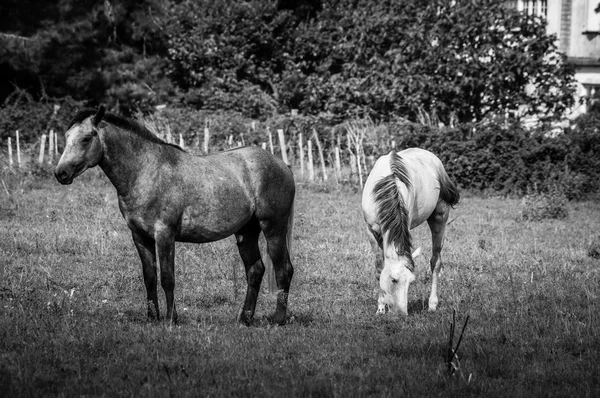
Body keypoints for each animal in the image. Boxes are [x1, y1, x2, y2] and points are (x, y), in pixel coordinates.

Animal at [55, 106, 294, 326]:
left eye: (86, 138)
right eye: (66, 137)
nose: (60, 173)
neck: (145, 171)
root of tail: (282, 164)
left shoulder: (164, 235)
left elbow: (168, 278)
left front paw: (170, 319)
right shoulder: (140, 236)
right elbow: (150, 278)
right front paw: (152, 317)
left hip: (273, 229)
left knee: (283, 270)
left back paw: (278, 319)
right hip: (246, 232)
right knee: (255, 271)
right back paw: (245, 319)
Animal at [360, 148, 460, 316]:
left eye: (411, 281)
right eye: (394, 280)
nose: (402, 314)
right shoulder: (371, 231)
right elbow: (379, 268)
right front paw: (380, 307)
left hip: (440, 217)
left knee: (435, 262)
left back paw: (432, 304)